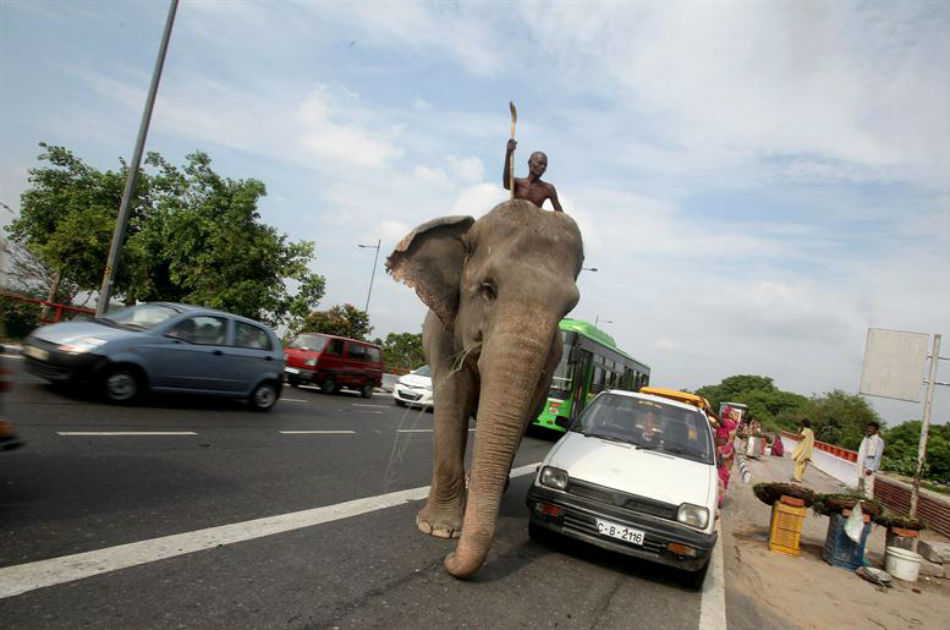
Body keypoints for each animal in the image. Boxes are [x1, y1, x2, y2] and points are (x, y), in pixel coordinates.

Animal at [386, 199, 584, 578]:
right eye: (488, 289)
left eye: (567, 309)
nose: (449, 562)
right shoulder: (442, 331)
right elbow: (451, 399)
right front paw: (438, 529)